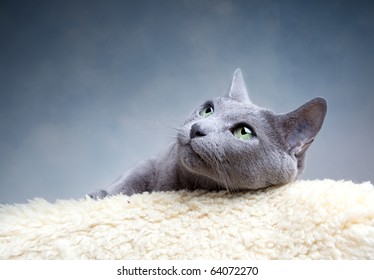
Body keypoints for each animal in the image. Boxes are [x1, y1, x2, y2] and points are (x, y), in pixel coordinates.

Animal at [88, 68, 328, 199]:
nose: (197, 129)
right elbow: (135, 175)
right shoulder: (155, 161)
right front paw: (101, 196)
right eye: (207, 110)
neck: (182, 185)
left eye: (244, 132)